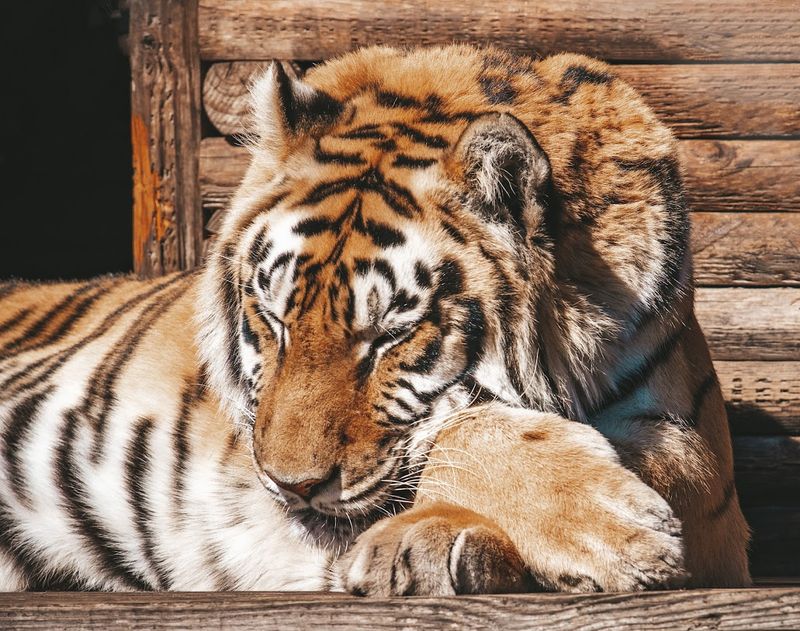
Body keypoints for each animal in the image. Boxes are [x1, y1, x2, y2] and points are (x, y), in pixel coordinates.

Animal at [0, 44, 750, 594]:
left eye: (390, 335)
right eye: (273, 318)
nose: (289, 486)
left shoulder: (696, 455)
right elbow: (458, 430)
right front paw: (607, 525)